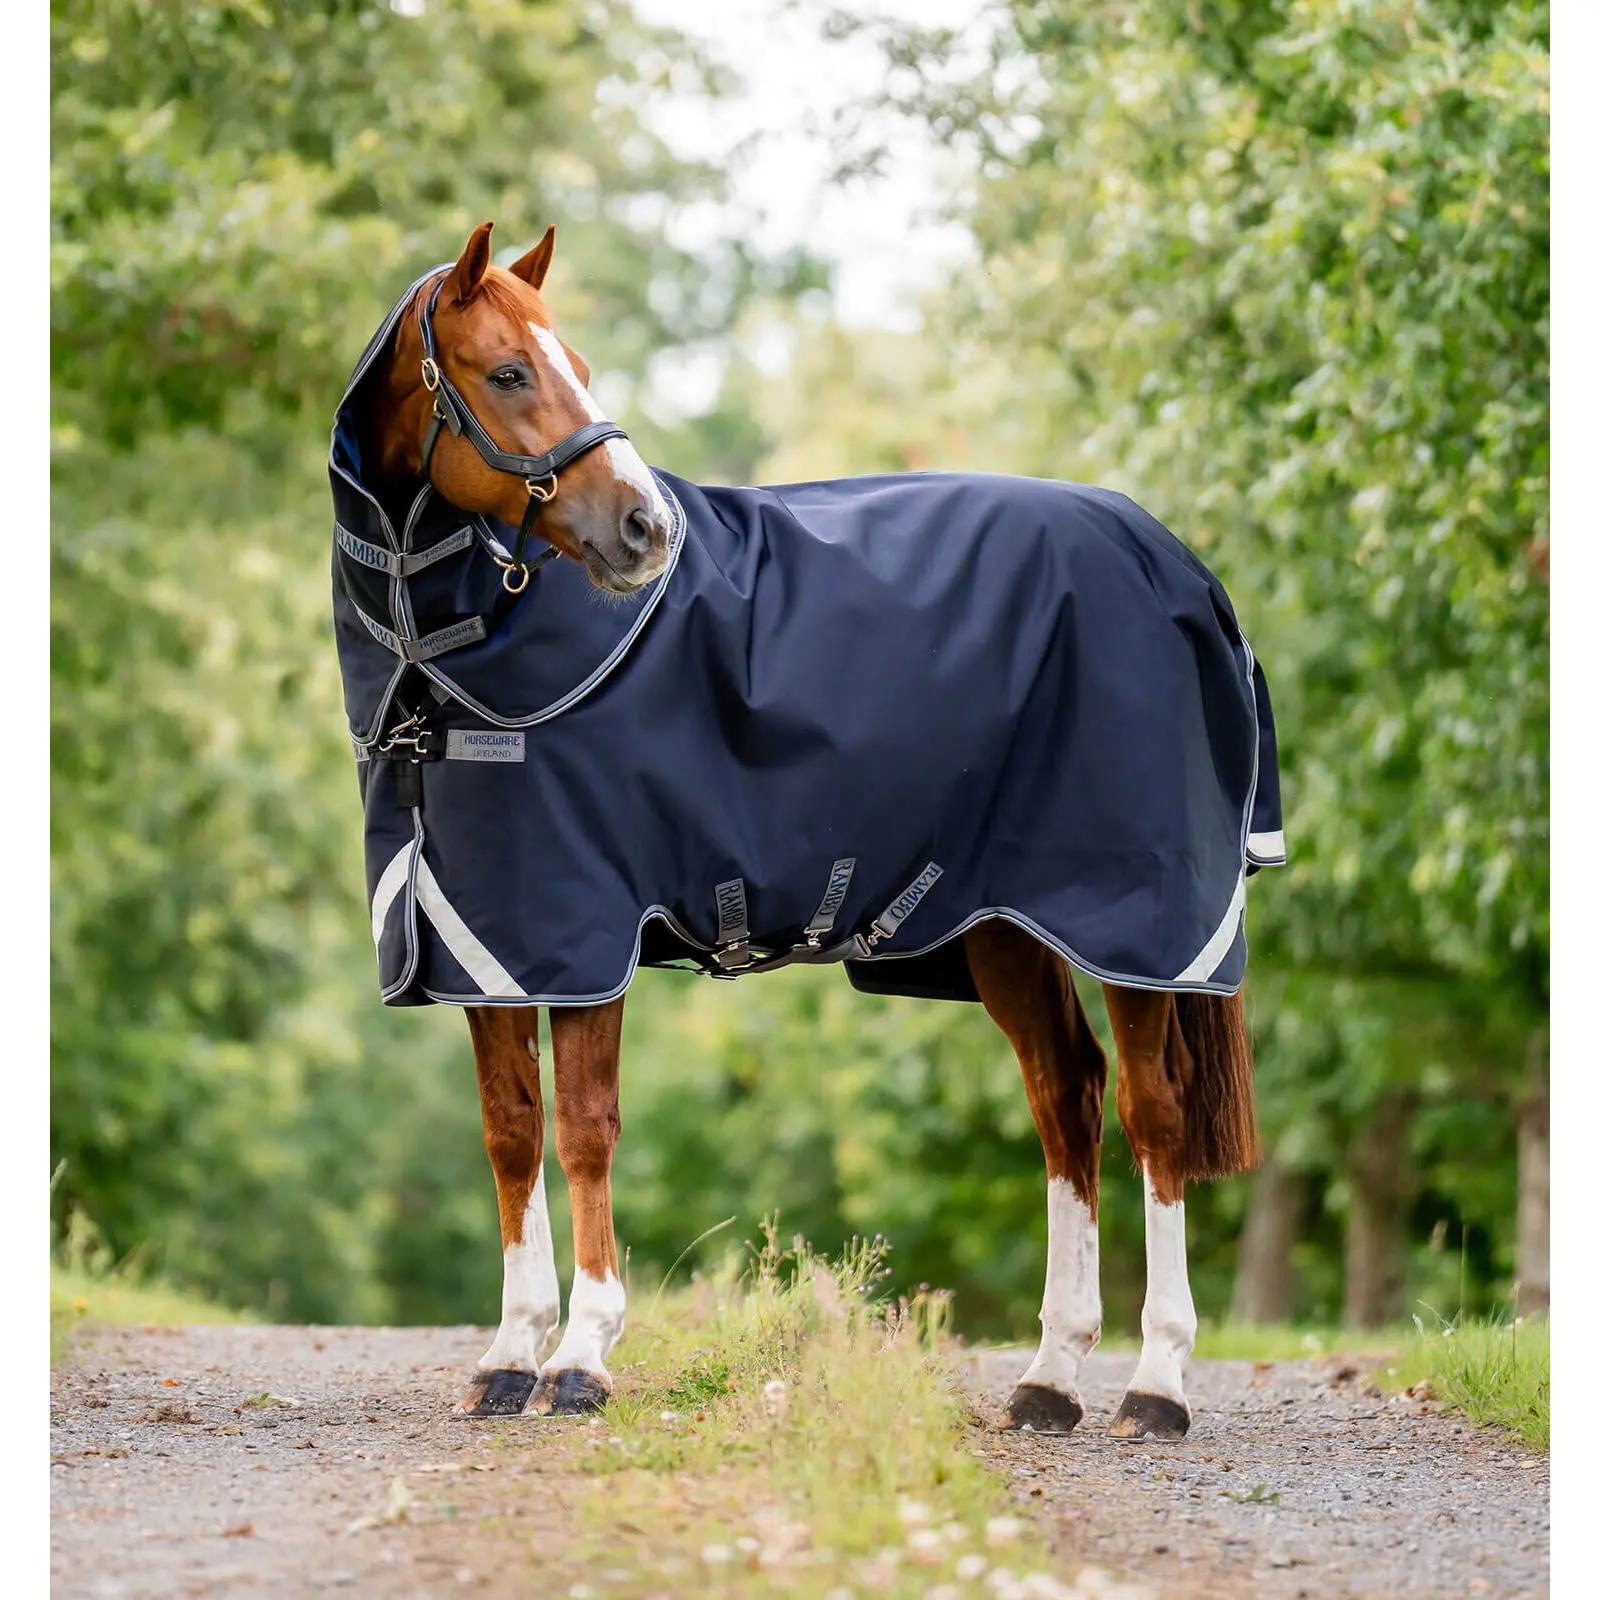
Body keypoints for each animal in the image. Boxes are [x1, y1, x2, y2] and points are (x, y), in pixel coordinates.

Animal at [332, 220, 1277, 1439]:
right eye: (507, 373)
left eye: (572, 362)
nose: (644, 528)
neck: (448, 671)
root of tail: (1182, 566)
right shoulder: (487, 939)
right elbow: (510, 1130)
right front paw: (507, 1357)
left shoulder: (586, 933)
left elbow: (583, 1125)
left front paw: (583, 1357)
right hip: (1005, 926)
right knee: (1065, 1103)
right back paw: (1050, 1377)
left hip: (1141, 926)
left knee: (1150, 1114)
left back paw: (1157, 1381)